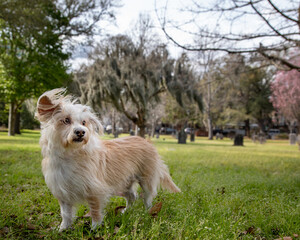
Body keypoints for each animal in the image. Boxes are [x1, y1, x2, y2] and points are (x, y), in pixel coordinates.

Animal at [35, 88, 180, 231]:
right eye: (66, 120)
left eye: (84, 123)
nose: (81, 132)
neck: (71, 154)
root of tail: (146, 141)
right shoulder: (62, 193)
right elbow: (65, 213)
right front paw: (63, 229)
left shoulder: (95, 191)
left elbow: (95, 211)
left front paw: (94, 228)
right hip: (122, 183)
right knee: (132, 196)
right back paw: (126, 211)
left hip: (145, 180)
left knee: (148, 196)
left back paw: (147, 212)